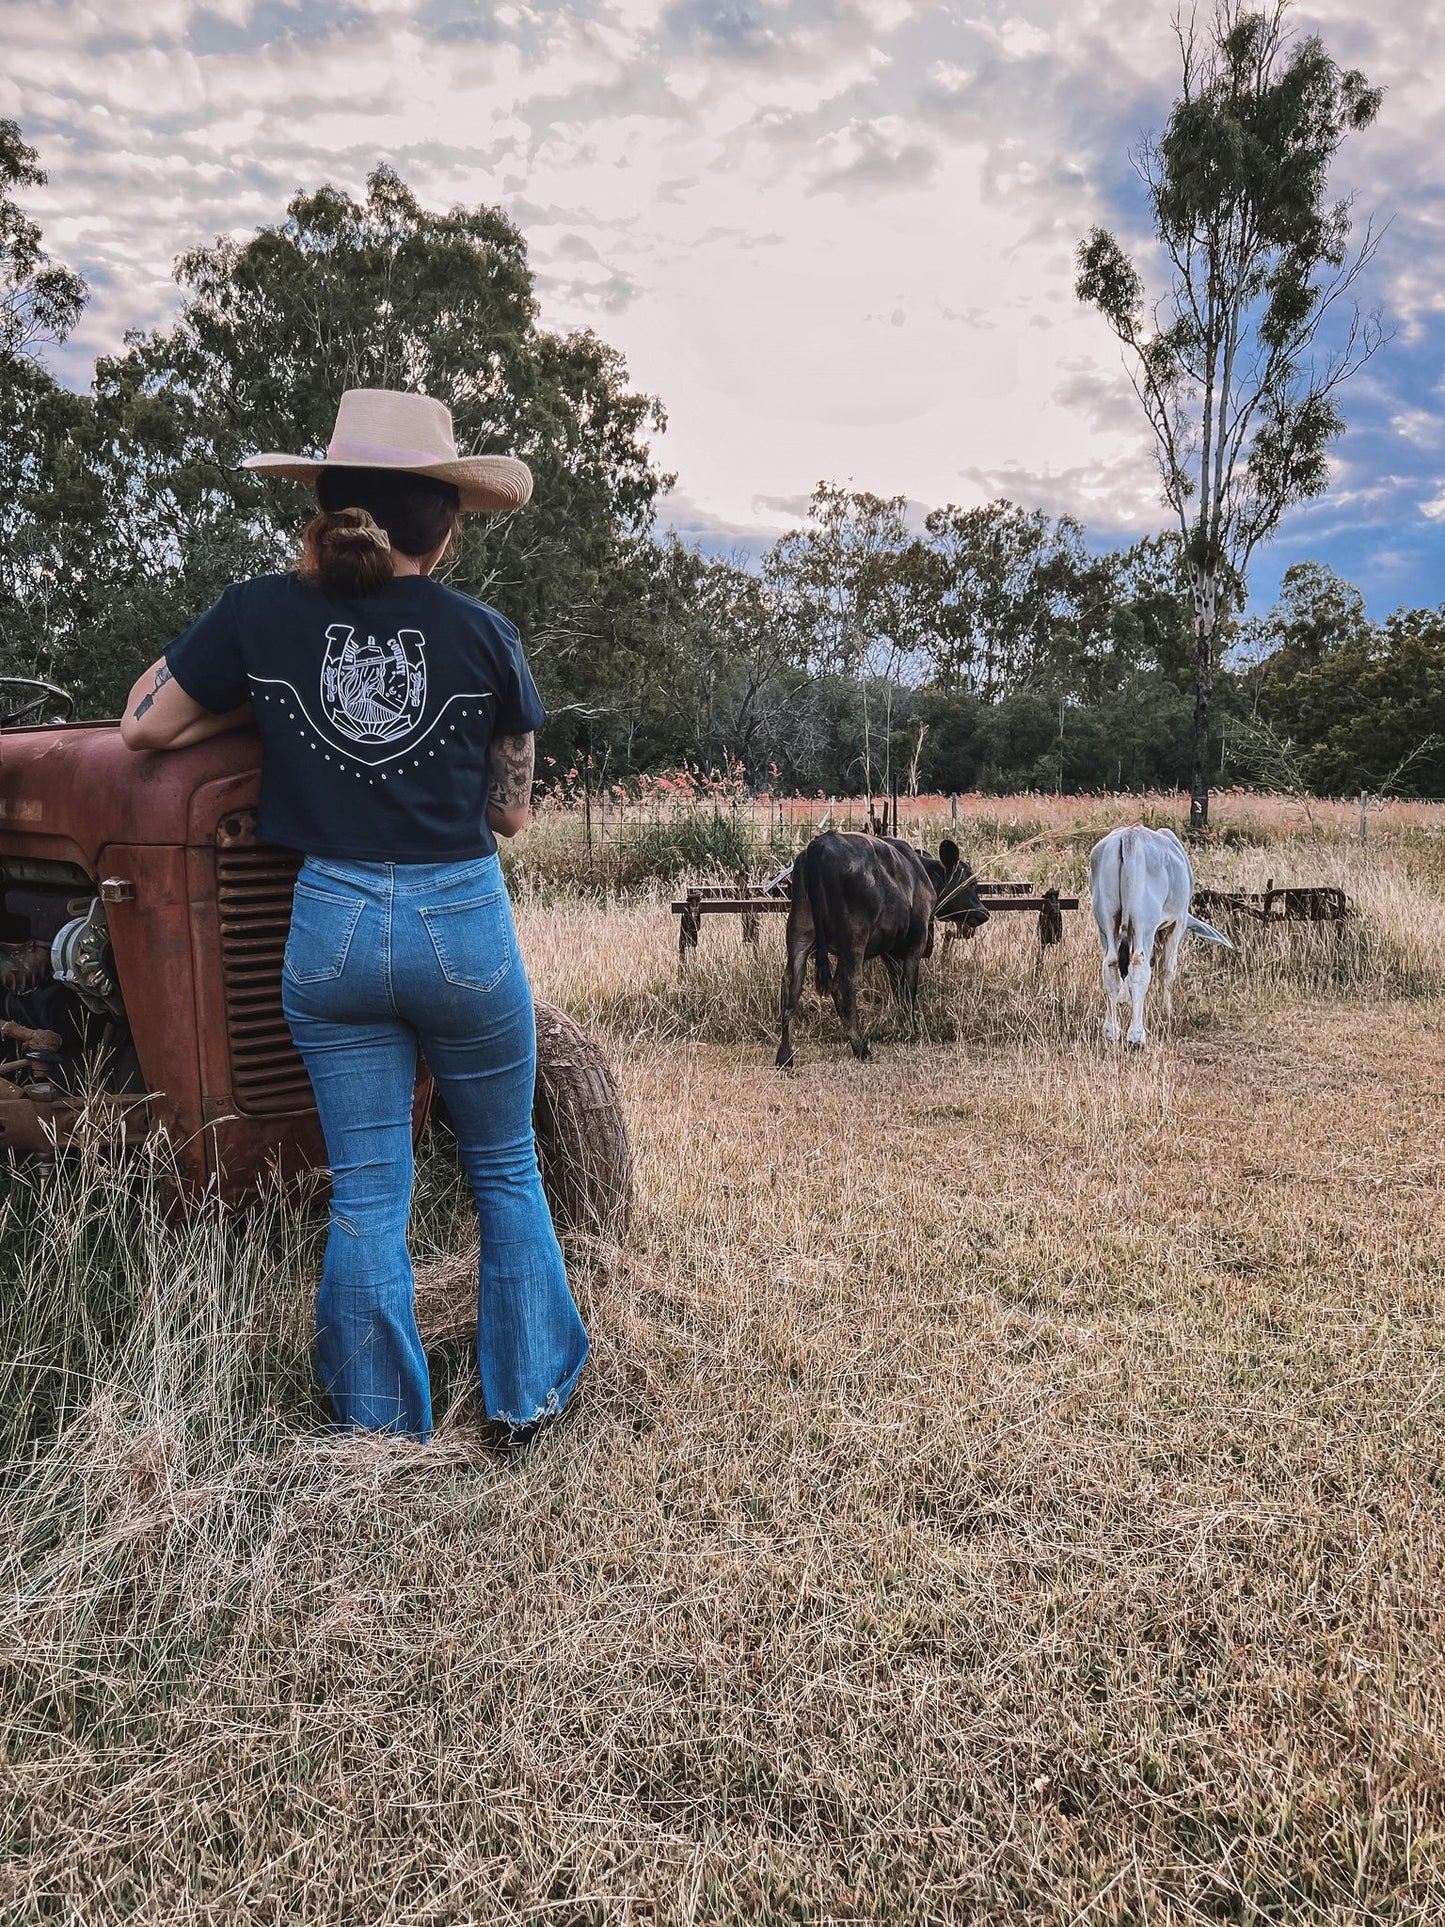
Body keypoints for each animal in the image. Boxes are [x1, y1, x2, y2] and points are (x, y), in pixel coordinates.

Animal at [782, 828, 994, 1071]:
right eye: (971, 883)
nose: (983, 913)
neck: (922, 873)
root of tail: (820, 845)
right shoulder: (914, 948)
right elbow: (909, 991)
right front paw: (912, 1030)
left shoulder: (889, 954)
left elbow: (898, 990)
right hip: (853, 942)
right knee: (842, 986)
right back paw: (861, 1048)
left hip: (799, 934)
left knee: (791, 986)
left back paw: (784, 1056)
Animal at [1094, 820, 1233, 1048]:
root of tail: (1129, 837)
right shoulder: (1178, 923)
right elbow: (1167, 970)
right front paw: (1166, 1011)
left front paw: (1124, 1000)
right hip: (1145, 923)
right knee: (1140, 966)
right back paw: (1136, 1036)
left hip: (1106, 920)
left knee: (1111, 964)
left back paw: (1111, 1030)